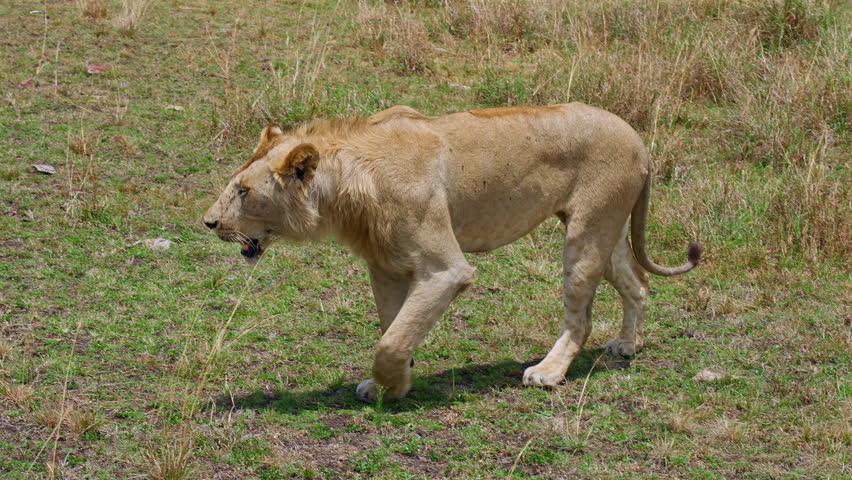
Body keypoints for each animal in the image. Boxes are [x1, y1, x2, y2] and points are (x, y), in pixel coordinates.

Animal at [203, 103, 702, 402]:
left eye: (243, 191)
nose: (208, 223)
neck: (345, 184)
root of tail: (637, 138)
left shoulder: (446, 270)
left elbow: (390, 340)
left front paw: (392, 385)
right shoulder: (384, 265)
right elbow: (394, 327)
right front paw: (393, 382)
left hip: (586, 233)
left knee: (580, 318)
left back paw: (548, 372)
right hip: (607, 228)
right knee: (637, 283)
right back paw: (628, 345)